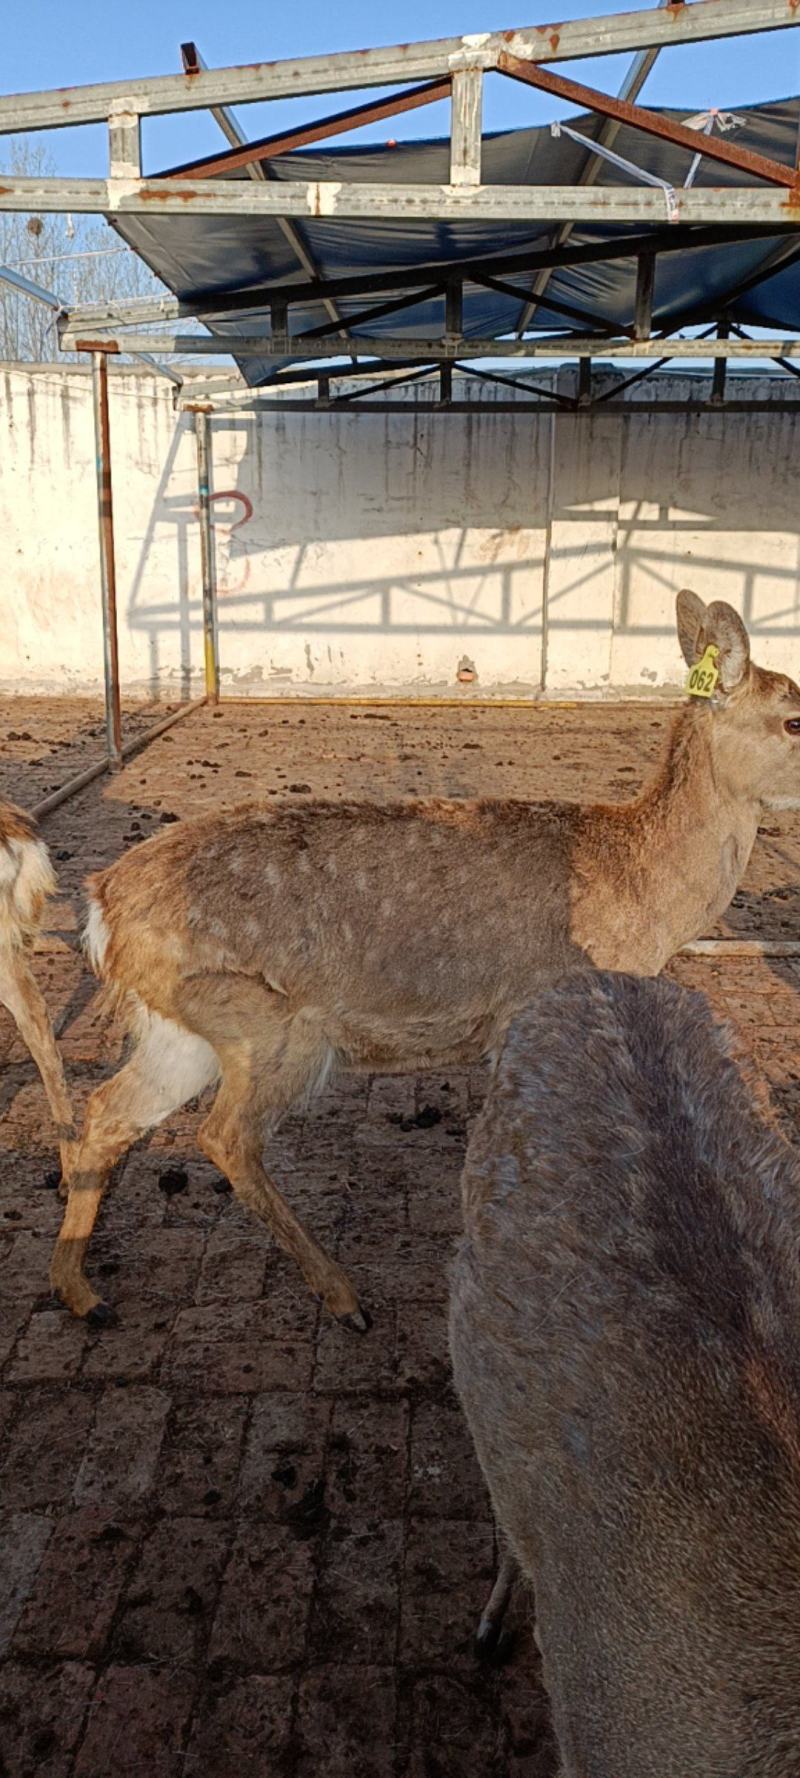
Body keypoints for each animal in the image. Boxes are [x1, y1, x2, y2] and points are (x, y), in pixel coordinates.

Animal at [50, 590, 800, 1328]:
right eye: (794, 718)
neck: (644, 896)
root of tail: (100, 908)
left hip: (180, 1029)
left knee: (109, 1112)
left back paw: (81, 1292)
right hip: (267, 1025)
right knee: (223, 1135)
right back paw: (344, 1295)